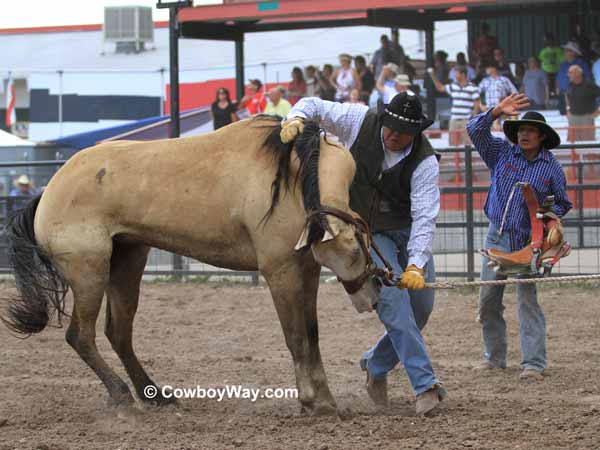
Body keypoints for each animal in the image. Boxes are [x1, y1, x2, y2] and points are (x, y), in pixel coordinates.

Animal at [1, 117, 380, 414]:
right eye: (356, 252)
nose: (373, 298)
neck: (293, 174)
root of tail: (49, 192)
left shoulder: (307, 270)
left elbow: (313, 336)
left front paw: (326, 400)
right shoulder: (279, 271)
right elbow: (297, 338)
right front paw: (311, 401)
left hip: (127, 261)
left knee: (119, 333)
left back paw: (155, 395)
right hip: (89, 271)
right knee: (81, 336)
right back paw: (122, 396)